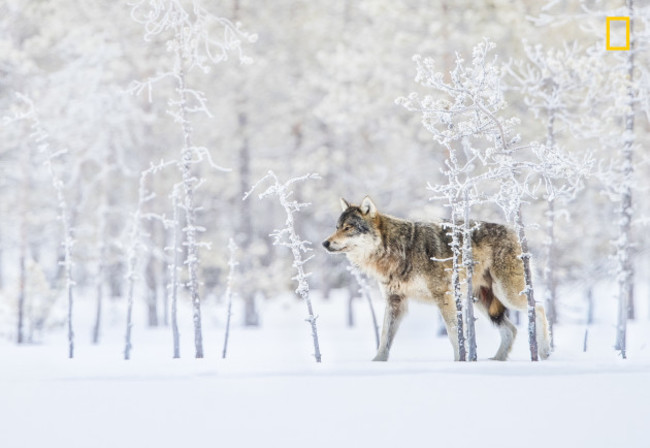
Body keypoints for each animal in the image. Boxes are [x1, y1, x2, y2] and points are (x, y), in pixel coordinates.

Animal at [322, 196, 550, 362]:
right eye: (337, 227)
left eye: (349, 227)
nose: (325, 243)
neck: (399, 251)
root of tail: (514, 231)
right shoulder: (395, 301)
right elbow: (384, 337)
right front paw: (376, 363)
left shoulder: (444, 296)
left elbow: (454, 333)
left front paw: (460, 362)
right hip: (483, 302)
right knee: (511, 329)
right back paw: (497, 360)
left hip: (507, 295)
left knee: (539, 308)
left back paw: (544, 352)